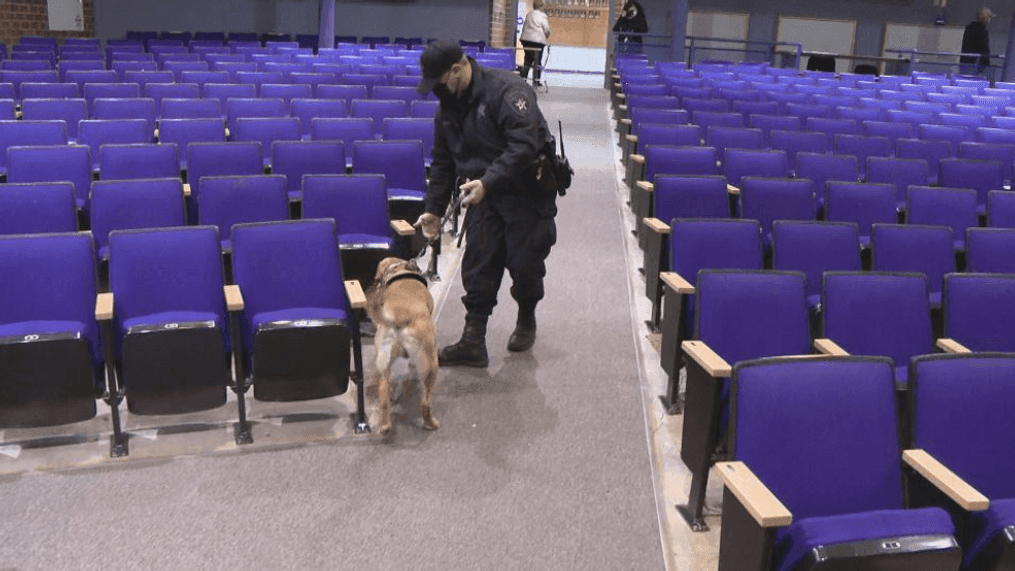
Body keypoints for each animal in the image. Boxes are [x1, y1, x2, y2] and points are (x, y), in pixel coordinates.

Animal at [369, 256, 440, 436]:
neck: (398, 268)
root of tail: (398, 317)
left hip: (383, 362)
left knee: (384, 395)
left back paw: (385, 426)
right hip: (432, 363)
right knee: (425, 404)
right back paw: (432, 424)